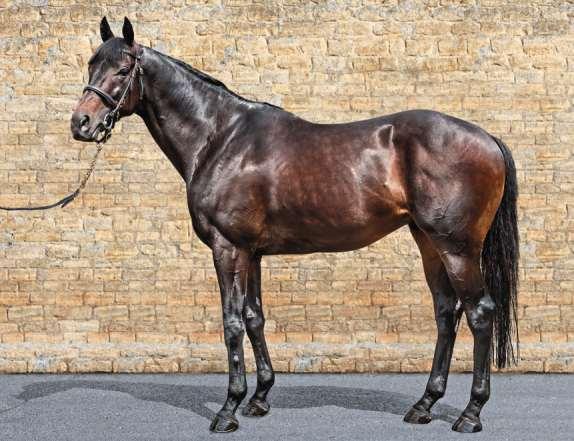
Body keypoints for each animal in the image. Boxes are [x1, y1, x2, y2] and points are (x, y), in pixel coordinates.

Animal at [71, 17, 519, 434]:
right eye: (92, 63)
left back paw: (470, 414)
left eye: (123, 68)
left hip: (457, 248)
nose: (81, 123)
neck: (221, 138)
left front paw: (228, 409)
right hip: (428, 242)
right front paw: (259, 398)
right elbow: (254, 317)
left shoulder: (227, 247)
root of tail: (487, 138)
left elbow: (232, 322)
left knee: (480, 312)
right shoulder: (251, 252)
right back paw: (424, 405)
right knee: (446, 312)